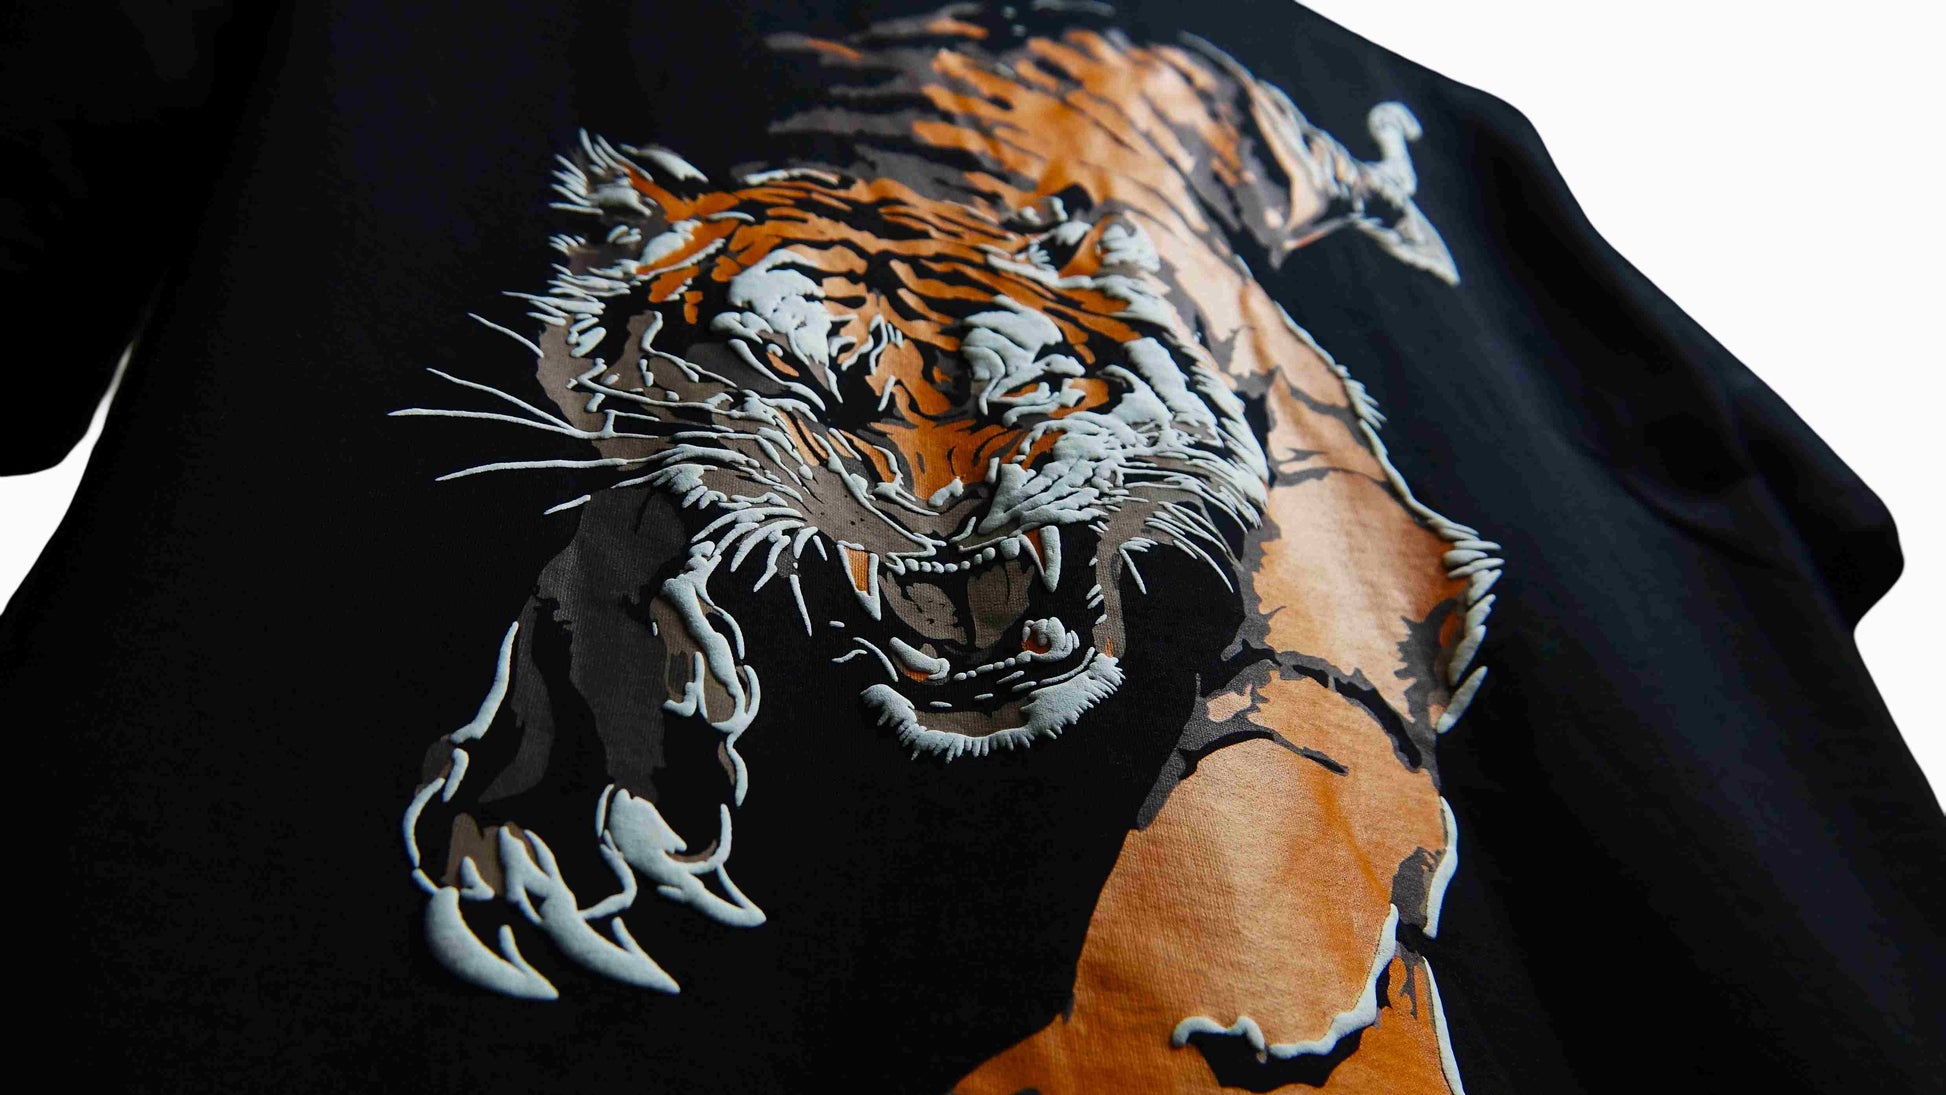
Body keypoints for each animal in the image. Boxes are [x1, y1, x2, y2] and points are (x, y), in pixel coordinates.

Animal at [399, 7, 1497, 1093]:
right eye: (786, 368)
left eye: (1020, 386)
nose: (937, 512)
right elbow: (600, 572)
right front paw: (563, 814)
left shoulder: (1333, 499)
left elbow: (1291, 711)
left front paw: (1247, 982)